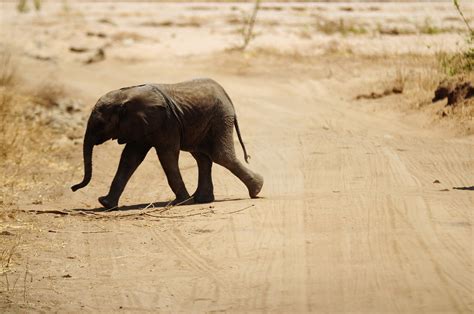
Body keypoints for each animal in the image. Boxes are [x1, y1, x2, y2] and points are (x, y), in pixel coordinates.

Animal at [71, 78, 262, 209]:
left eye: (100, 124)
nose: (73, 188)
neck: (124, 96)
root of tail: (227, 96)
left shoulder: (165, 122)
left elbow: (167, 155)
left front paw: (182, 202)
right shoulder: (142, 125)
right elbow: (130, 157)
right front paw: (105, 203)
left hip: (220, 119)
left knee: (220, 156)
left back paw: (256, 190)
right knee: (203, 157)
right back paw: (202, 199)